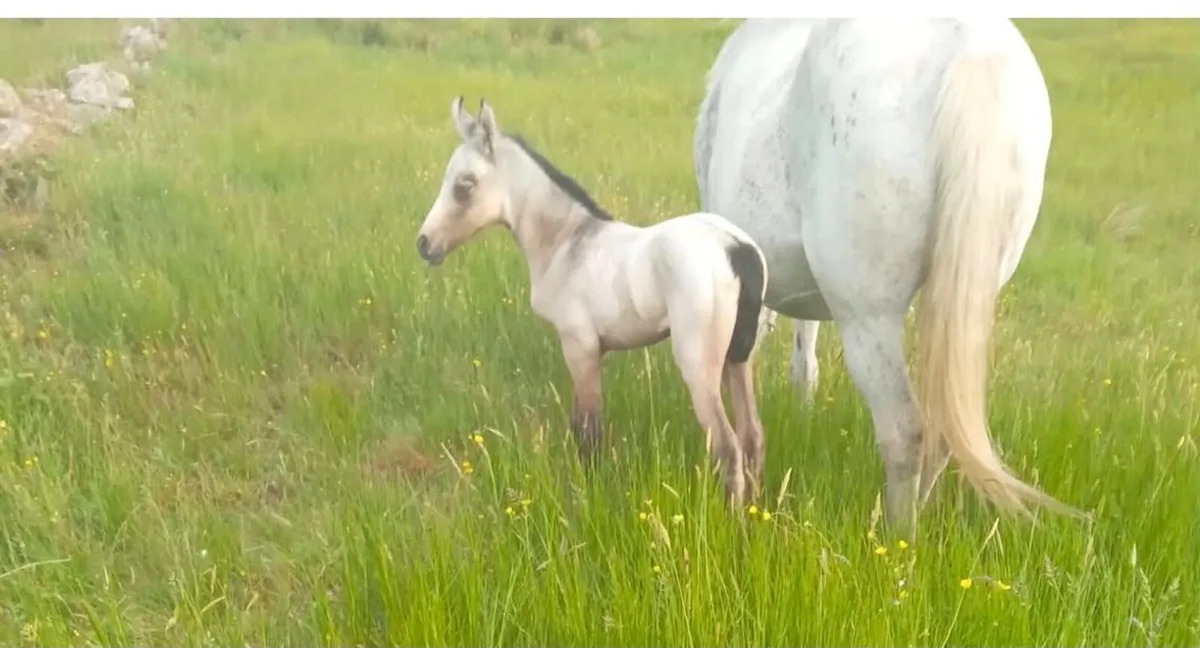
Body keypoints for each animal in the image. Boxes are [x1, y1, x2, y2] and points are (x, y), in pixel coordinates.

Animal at [416, 97, 772, 505]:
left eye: (465, 185)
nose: (424, 244)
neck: (567, 242)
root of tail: (736, 247)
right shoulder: (594, 350)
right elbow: (582, 425)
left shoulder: (579, 345)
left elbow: (589, 432)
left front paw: (588, 496)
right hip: (739, 358)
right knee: (753, 435)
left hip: (700, 365)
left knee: (727, 445)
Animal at [693, 18, 1086, 538]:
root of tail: (973, 47)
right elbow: (801, 353)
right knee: (940, 428)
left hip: (869, 315)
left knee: (904, 429)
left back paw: (900, 541)